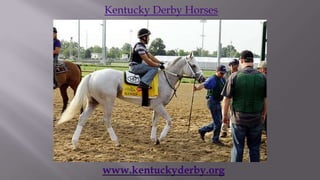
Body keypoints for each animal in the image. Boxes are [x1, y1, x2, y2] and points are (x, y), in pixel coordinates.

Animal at [57, 54, 205, 148]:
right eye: (193, 65)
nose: (202, 79)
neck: (165, 78)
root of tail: (93, 74)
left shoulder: (157, 107)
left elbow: (155, 122)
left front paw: (154, 139)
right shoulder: (159, 106)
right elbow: (169, 121)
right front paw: (161, 137)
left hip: (93, 102)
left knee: (82, 118)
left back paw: (75, 143)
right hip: (108, 102)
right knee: (106, 120)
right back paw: (116, 141)